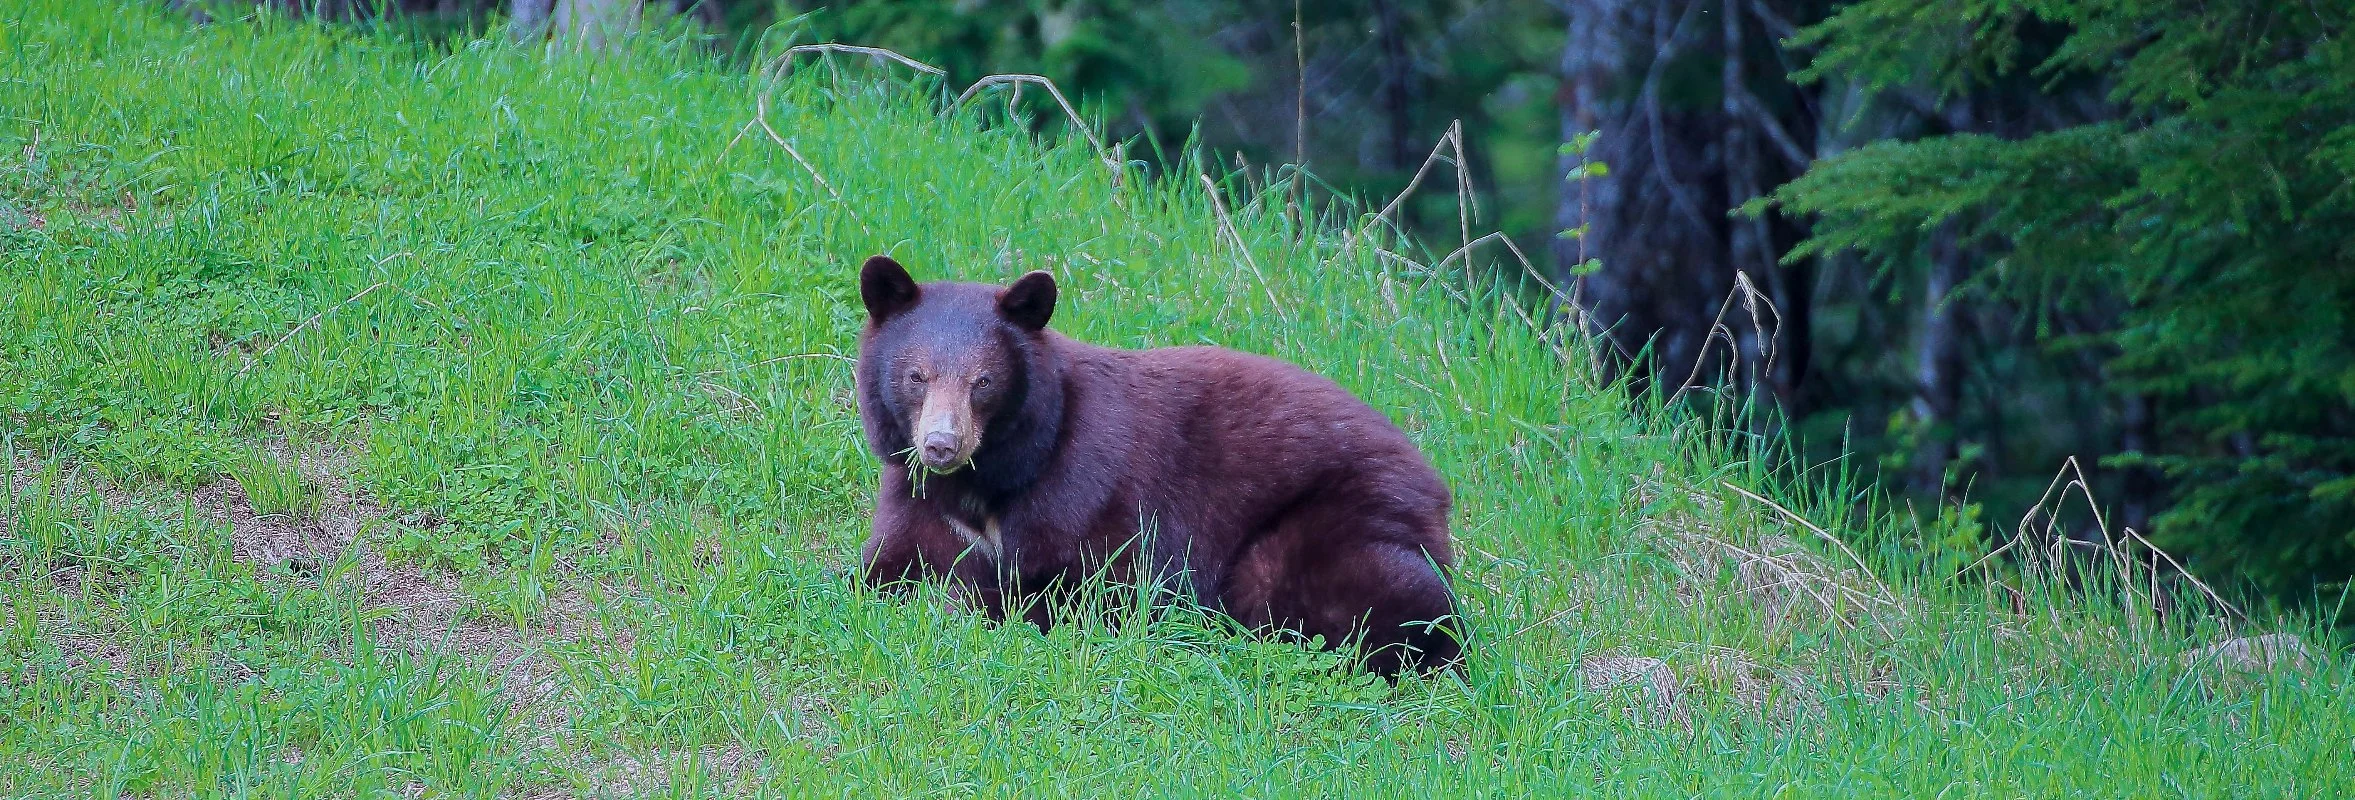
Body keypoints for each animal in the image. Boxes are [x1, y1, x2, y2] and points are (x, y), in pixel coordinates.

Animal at [852, 254, 1461, 676]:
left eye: (982, 382)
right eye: (916, 376)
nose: (940, 445)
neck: (990, 478)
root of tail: (1435, 490)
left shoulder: (1086, 488)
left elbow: (1095, 582)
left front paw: (974, 598)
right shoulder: (916, 495)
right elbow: (888, 562)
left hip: (1338, 521)